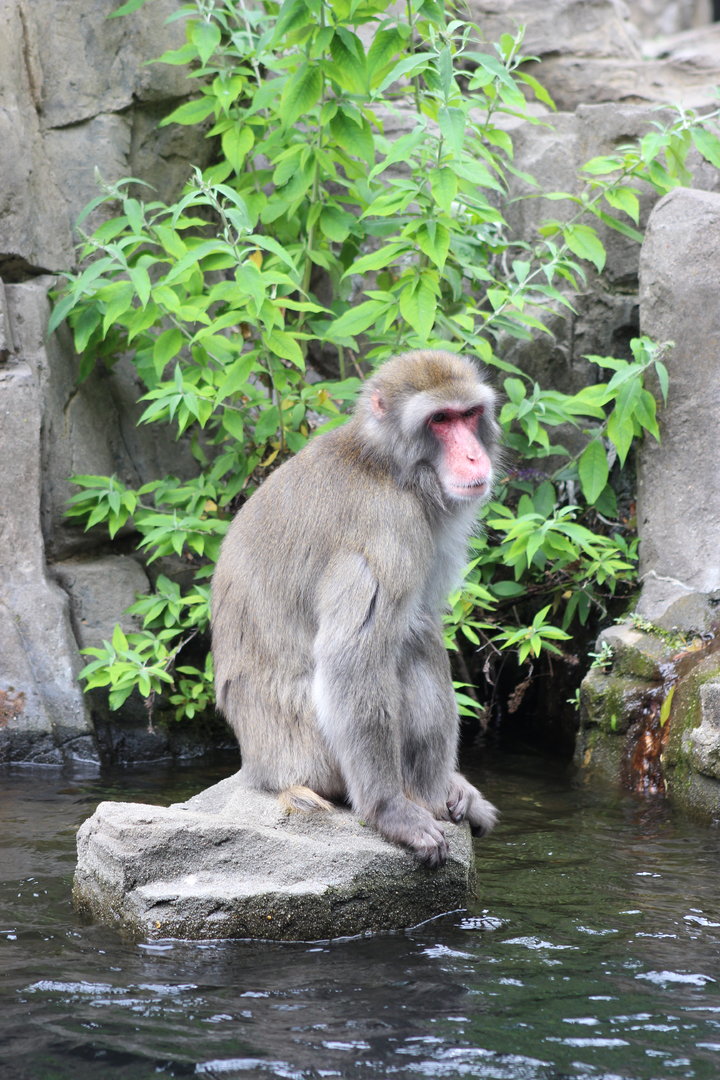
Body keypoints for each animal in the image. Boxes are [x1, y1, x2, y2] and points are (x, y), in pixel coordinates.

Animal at [211, 349, 499, 868]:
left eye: (469, 415)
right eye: (440, 420)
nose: (473, 455)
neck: (387, 465)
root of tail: (260, 769)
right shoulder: (387, 531)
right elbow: (353, 659)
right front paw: (390, 812)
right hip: (311, 753)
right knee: (406, 641)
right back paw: (422, 795)